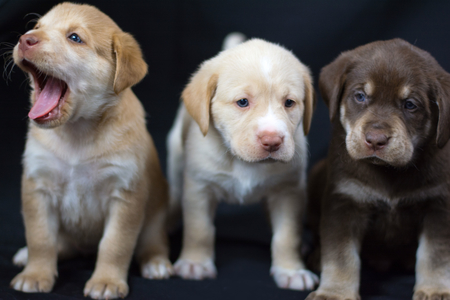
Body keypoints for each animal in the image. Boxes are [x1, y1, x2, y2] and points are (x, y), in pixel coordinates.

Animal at [11, 2, 172, 300]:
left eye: (75, 37)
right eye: (36, 27)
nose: (25, 39)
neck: (78, 133)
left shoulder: (125, 194)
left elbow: (115, 245)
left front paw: (106, 281)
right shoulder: (37, 187)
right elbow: (40, 238)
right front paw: (35, 274)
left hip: (155, 216)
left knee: (152, 243)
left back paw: (156, 263)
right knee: (59, 246)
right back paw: (25, 255)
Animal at [167, 36, 318, 290]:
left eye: (289, 103)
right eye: (243, 102)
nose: (272, 141)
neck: (243, 162)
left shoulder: (288, 191)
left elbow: (287, 235)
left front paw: (291, 270)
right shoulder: (199, 188)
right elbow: (199, 229)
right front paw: (195, 263)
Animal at [308, 37, 450, 300]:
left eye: (410, 105)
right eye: (360, 96)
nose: (375, 140)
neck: (390, 171)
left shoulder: (439, 205)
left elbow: (435, 254)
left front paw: (435, 289)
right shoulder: (345, 201)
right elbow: (340, 255)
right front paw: (335, 292)